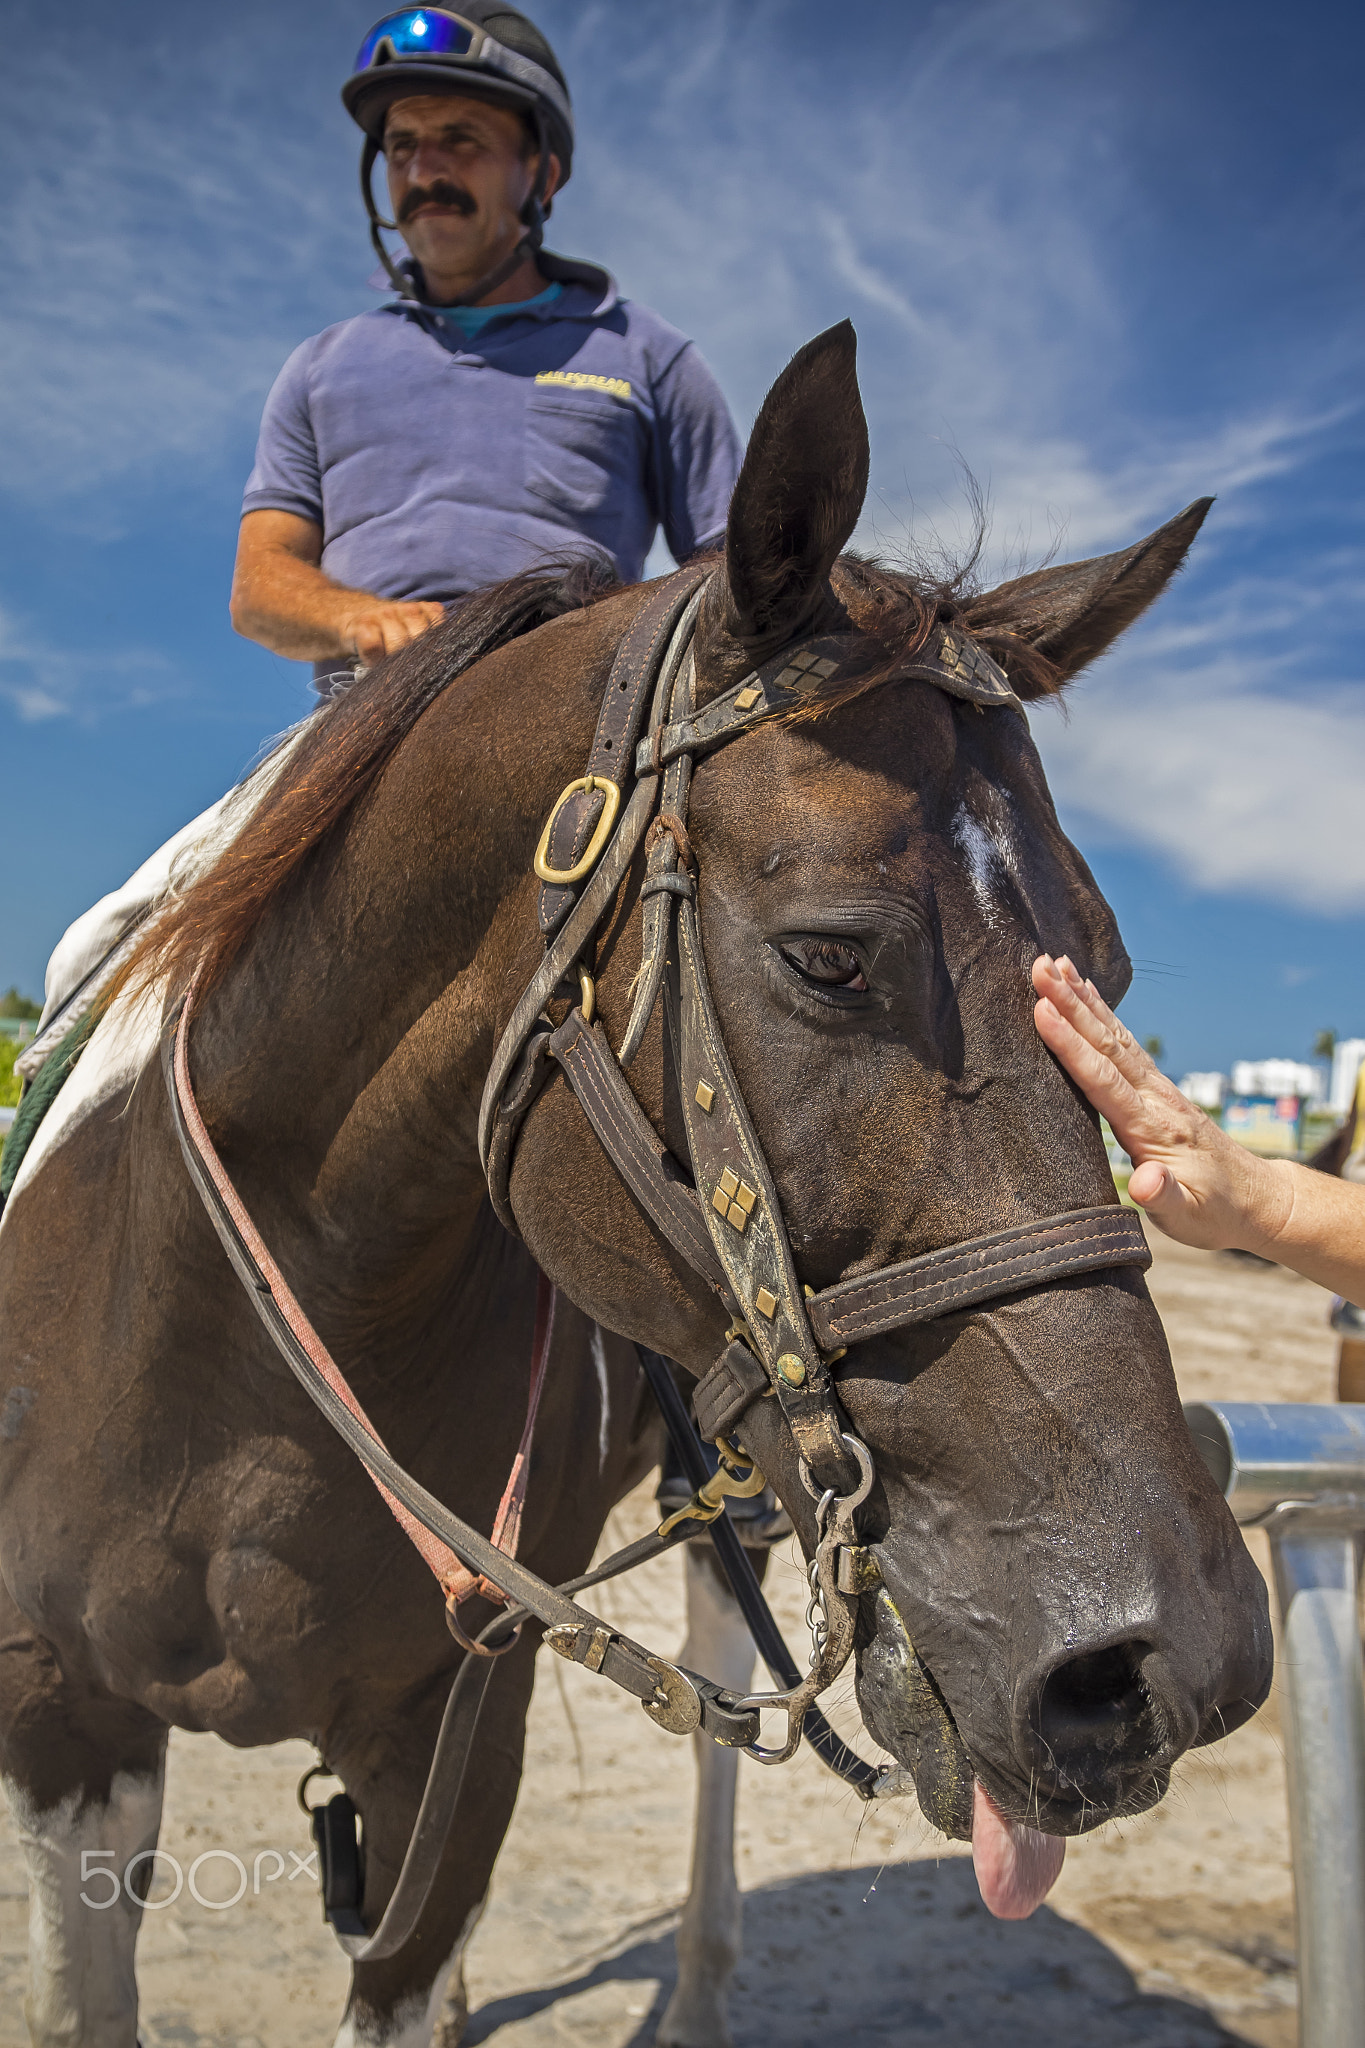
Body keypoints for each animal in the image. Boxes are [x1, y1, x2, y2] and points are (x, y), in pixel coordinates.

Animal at [0, 322, 1271, 2048]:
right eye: (828, 955)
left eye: (1109, 968)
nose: (1170, 1653)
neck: (234, 1342)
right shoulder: (60, 1723)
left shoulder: (455, 1741)